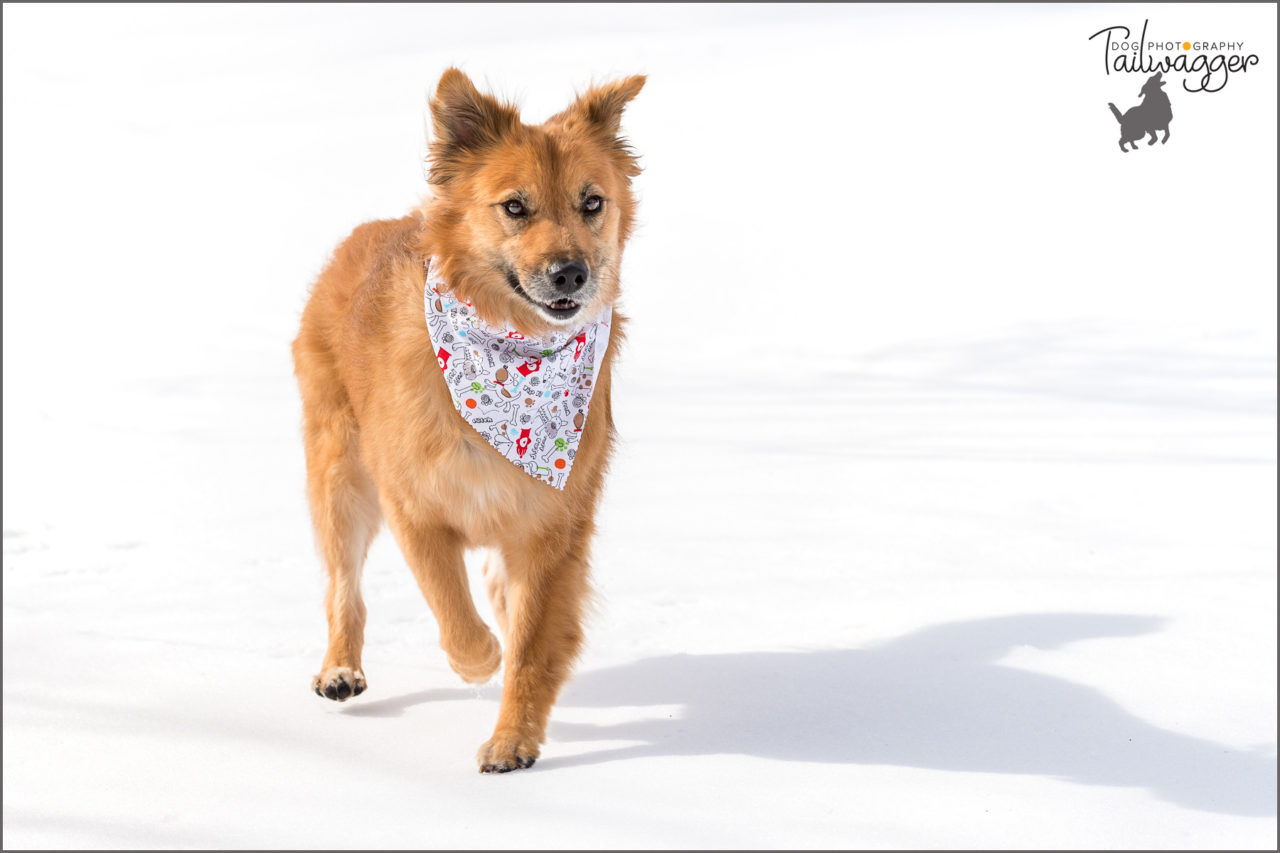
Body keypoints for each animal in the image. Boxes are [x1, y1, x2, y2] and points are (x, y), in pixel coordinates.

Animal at [293, 68, 645, 768]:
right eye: (514, 207)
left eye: (592, 202)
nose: (571, 272)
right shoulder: (414, 506)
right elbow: (449, 604)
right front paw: (479, 659)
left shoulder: (552, 527)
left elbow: (532, 643)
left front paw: (513, 740)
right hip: (339, 478)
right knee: (344, 586)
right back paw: (341, 669)